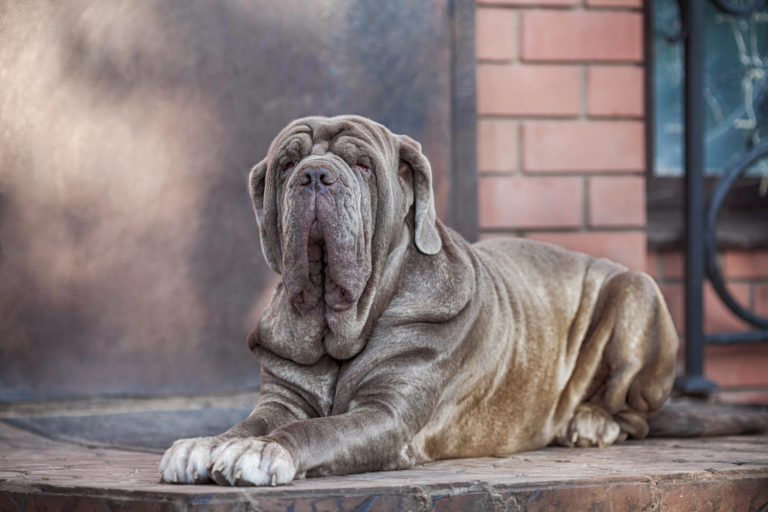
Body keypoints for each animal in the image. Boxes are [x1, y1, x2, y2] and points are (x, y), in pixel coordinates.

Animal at [158, 116, 680, 488]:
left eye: (363, 165)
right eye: (286, 164)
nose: (315, 175)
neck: (341, 325)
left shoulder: (388, 414)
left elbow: (318, 431)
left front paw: (265, 451)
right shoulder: (282, 398)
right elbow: (248, 425)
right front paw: (206, 444)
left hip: (636, 292)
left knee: (635, 413)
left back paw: (593, 422)